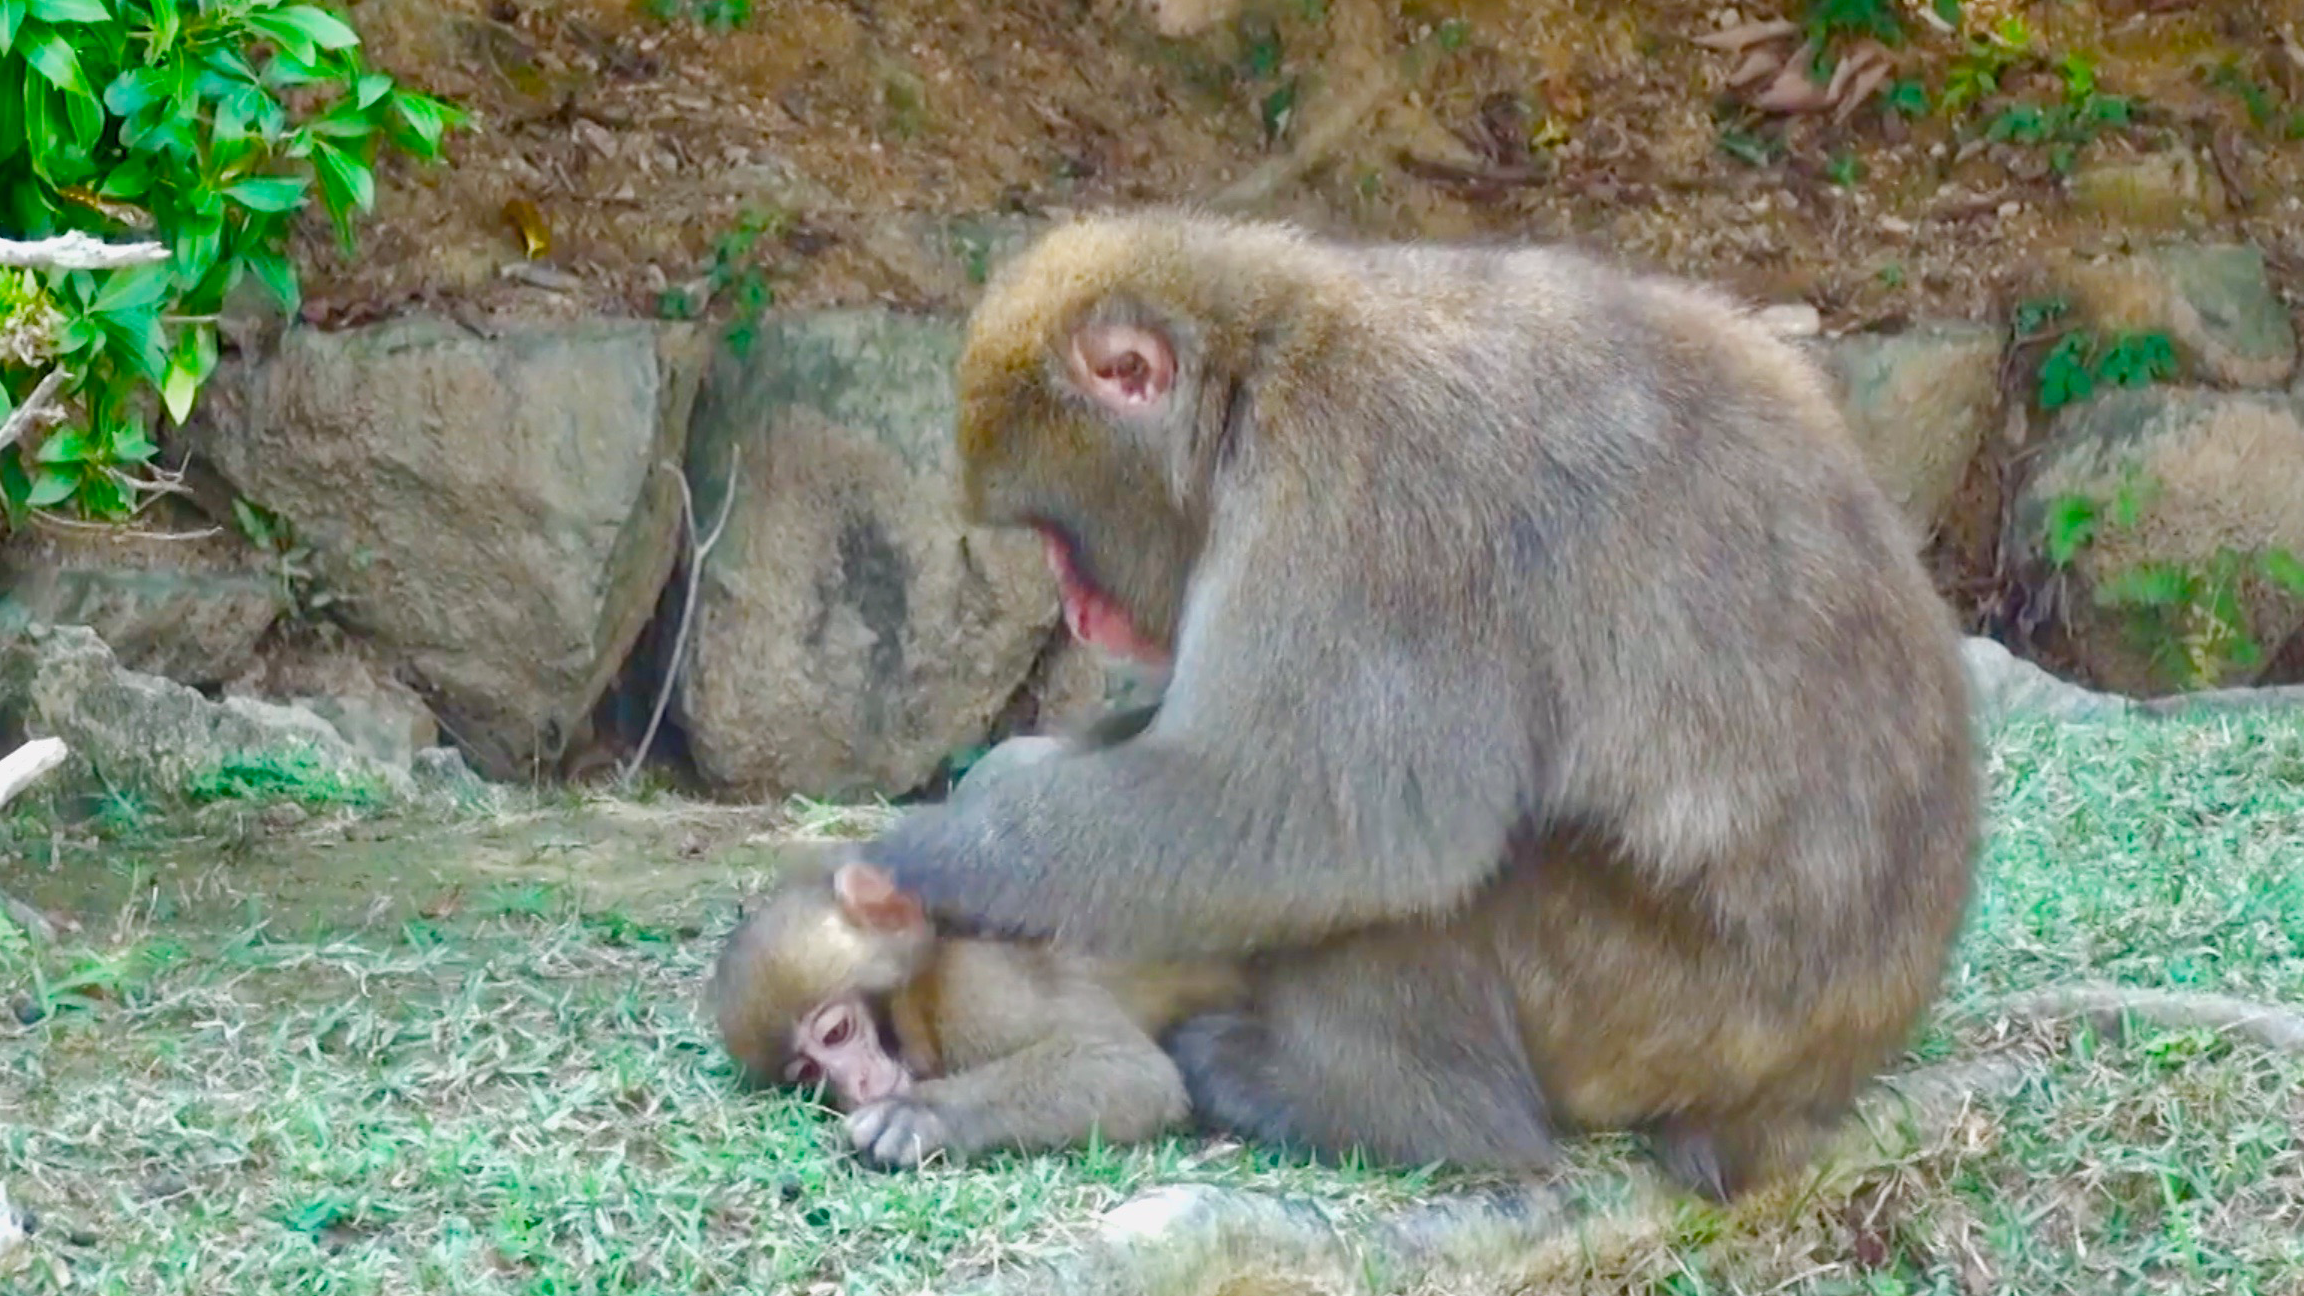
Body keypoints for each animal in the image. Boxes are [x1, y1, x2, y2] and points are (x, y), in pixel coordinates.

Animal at [708, 847, 1244, 1169]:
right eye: (808, 1074)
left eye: (836, 1032)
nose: (855, 1087)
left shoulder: (976, 988)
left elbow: (1132, 1071)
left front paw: (922, 1112)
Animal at [838, 209, 1980, 1200]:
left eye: (1057, 537)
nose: (1077, 611)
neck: (1259, 375)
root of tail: (1828, 1073)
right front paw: (1007, 778)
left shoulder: (1361, 501)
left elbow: (1304, 815)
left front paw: (914, 855)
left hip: (1662, 1014)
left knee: (1419, 873)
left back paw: (1386, 1109)